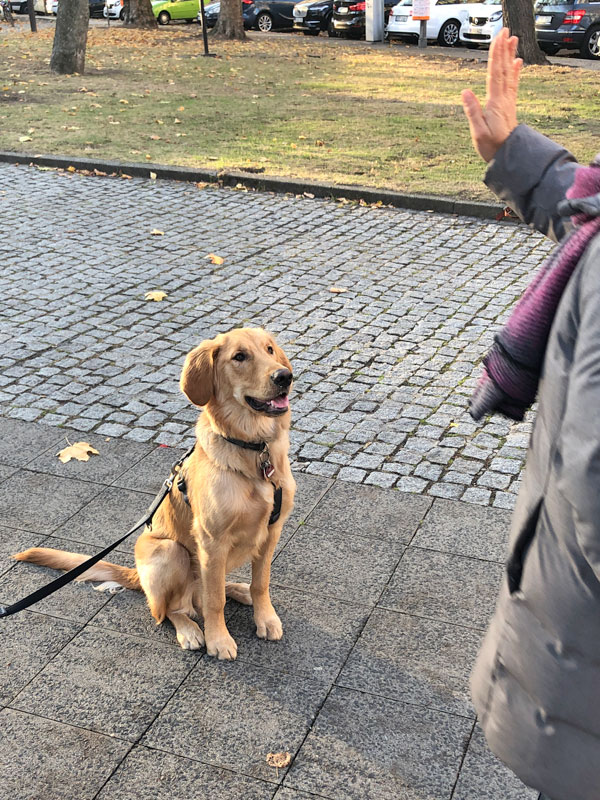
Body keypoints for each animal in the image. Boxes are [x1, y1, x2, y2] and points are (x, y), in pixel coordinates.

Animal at [14, 328, 296, 660]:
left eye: (269, 349)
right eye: (239, 356)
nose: (285, 376)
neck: (254, 450)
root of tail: (137, 575)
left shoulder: (272, 530)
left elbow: (260, 583)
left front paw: (265, 618)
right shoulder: (212, 540)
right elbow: (214, 601)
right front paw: (219, 639)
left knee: (209, 591)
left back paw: (237, 589)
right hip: (170, 551)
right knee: (171, 609)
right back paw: (190, 630)